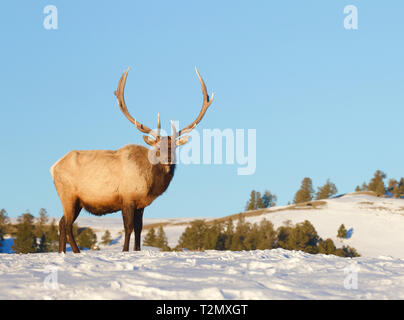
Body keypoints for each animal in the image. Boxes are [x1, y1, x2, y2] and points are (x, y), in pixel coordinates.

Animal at [50, 67, 215, 252]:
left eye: (174, 147)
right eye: (158, 148)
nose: (168, 159)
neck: (150, 184)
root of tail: (53, 168)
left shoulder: (140, 204)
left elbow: (139, 228)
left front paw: (137, 250)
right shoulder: (127, 197)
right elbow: (128, 227)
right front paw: (124, 251)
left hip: (75, 200)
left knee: (61, 222)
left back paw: (62, 252)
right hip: (68, 195)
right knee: (67, 224)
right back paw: (77, 252)